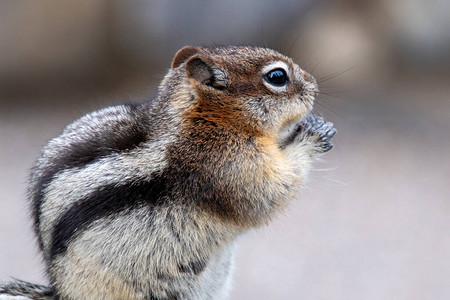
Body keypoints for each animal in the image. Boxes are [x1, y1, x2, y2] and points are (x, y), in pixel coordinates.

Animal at [0, 45, 336, 298]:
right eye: (277, 76)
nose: (315, 85)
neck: (201, 119)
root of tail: (62, 291)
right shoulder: (228, 165)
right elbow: (269, 192)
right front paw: (311, 137)